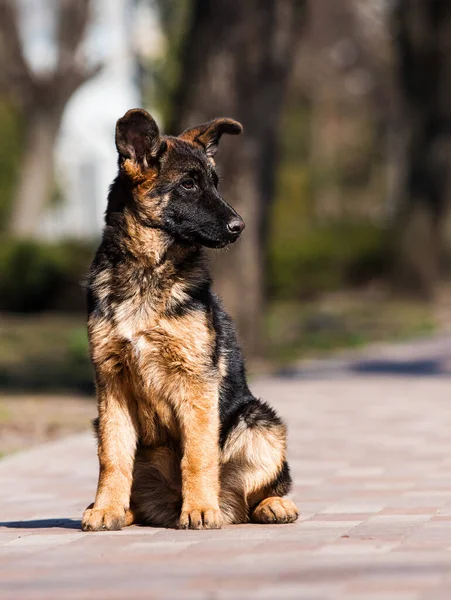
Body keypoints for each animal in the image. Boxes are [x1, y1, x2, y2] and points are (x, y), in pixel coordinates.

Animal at [82, 109, 300, 528]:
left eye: (215, 184)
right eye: (187, 184)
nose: (239, 227)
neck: (148, 272)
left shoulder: (196, 380)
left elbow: (198, 453)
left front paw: (199, 507)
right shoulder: (112, 383)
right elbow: (112, 458)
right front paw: (106, 509)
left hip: (258, 420)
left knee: (264, 487)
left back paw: (268, 505)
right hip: (105, 426)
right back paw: (122, 509)